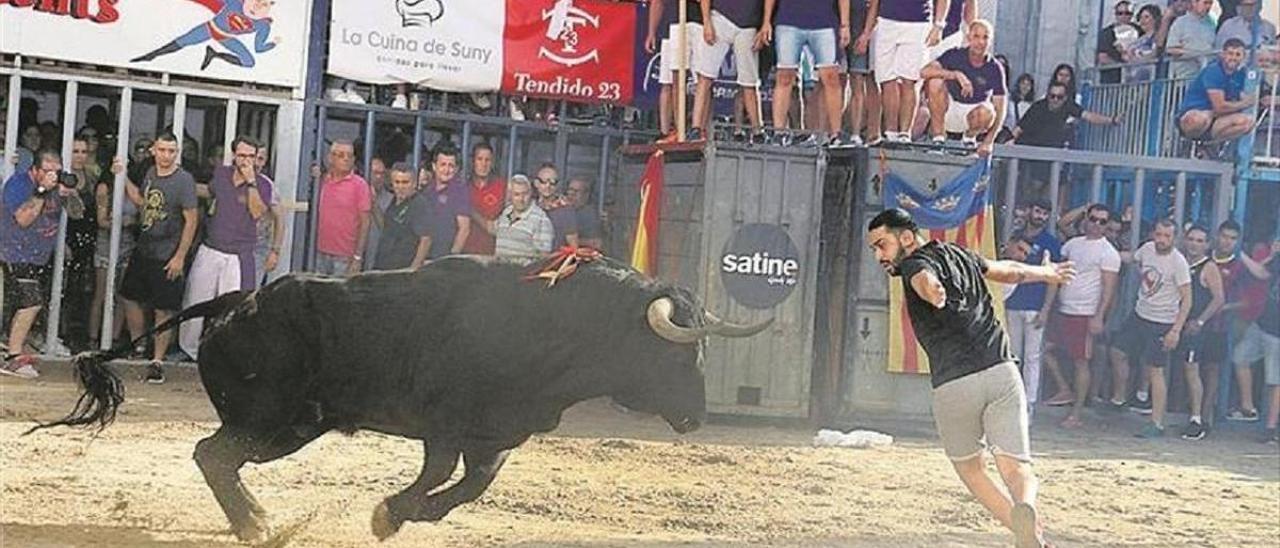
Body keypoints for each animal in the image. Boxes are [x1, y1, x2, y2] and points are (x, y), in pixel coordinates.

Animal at [30, 256, 768, 540]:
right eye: (678, 352)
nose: (697, 417)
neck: (555, 324)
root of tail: (237, 301)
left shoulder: (494, 437)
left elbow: (469, 487)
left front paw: (407, 515)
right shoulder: (446, 426)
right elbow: (440, 474)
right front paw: (388, 514)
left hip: (286, 426)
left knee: (218, 458)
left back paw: (257, 518)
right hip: (274, 422)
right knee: (213, 455)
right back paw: (257, 525)